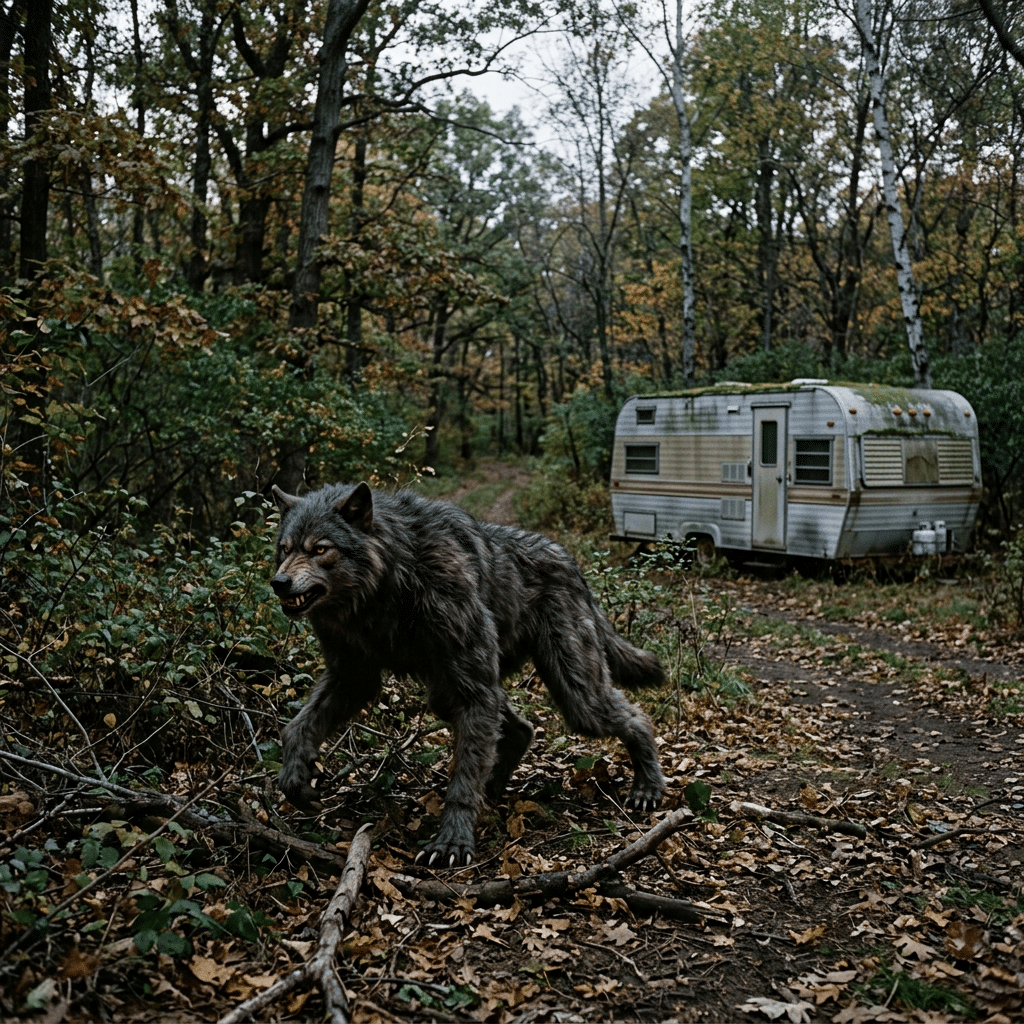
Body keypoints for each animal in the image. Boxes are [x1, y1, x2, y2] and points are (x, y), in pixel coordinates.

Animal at [269, 481, 667, 866]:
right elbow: (297, 728)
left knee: (637, 718)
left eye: (320, 549)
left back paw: (648, 787)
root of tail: (571, 562)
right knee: (521, 729)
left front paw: (452, 843)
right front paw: (295, 778)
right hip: (450, 692)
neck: (390, 583)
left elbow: (460, 782)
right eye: (284, 549)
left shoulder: (473, 690)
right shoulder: (353, 677)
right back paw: (491, 791)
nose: (278, 582)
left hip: (573, 697)